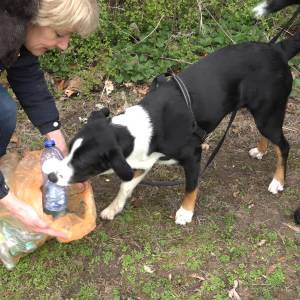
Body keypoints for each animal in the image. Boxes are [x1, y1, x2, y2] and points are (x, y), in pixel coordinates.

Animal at [48, 32, 298, 225]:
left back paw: (278, 181)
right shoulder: (141, 162)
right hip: (263, 116)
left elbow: (191, 186)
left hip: (268, 116)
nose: (50, 176)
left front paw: (186, 212)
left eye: (83, 162)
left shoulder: (193, 155)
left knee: (284, 146)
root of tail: (277, 49)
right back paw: (261, 150)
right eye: (68, 150)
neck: (145, 128)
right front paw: (113, 207)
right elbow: (125, 187)